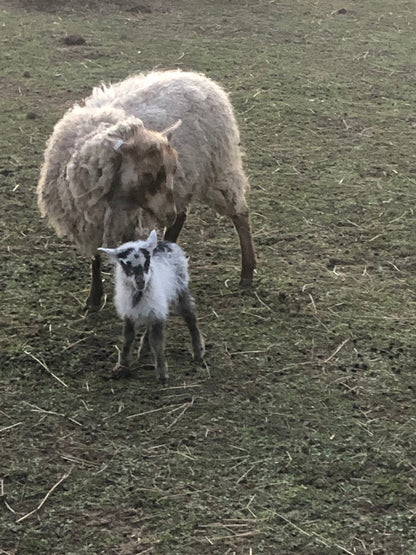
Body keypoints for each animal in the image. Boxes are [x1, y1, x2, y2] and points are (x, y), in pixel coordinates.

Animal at [99, 230, 206, 382]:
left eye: (147, 262)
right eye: (126, 264)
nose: (141, 281)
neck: (139, 294)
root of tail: (165, 242)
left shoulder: (157, 313)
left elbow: (157, 340)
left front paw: (162, 374)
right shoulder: (130, 314)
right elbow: (128, 338)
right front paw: (121, 368)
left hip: (180, 289)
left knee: (190, 316)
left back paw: (198, 351)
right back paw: (144, 350)